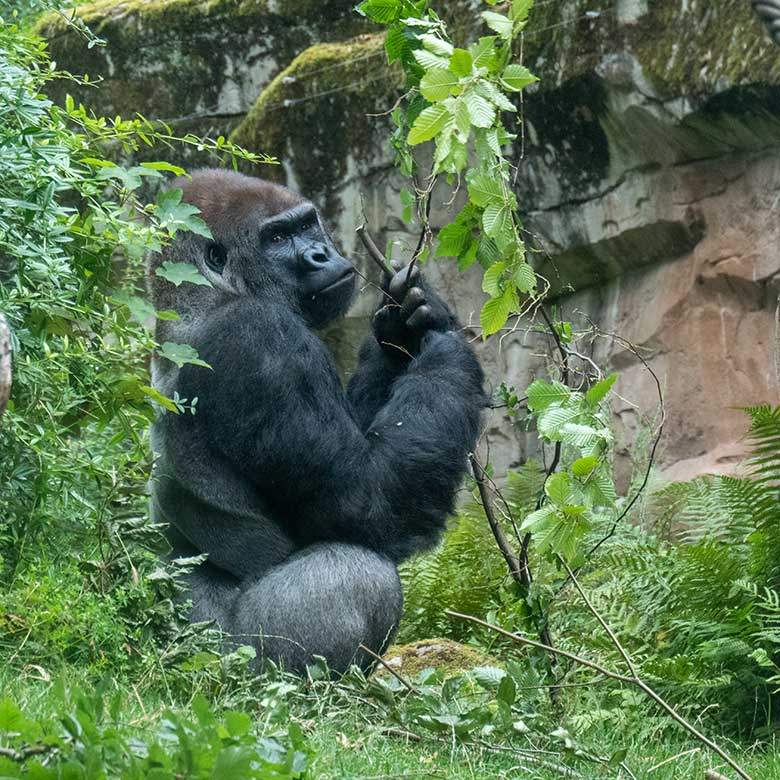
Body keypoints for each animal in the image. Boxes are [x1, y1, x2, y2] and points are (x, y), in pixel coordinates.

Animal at [147, 172, 484, 676]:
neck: (203, 296)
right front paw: (446, 357)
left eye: (307, 225)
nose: (320, 254)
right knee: (362, 573)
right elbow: (367, 499)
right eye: (277, 239)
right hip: (232, 662)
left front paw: (407, 321)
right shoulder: (263, 339)